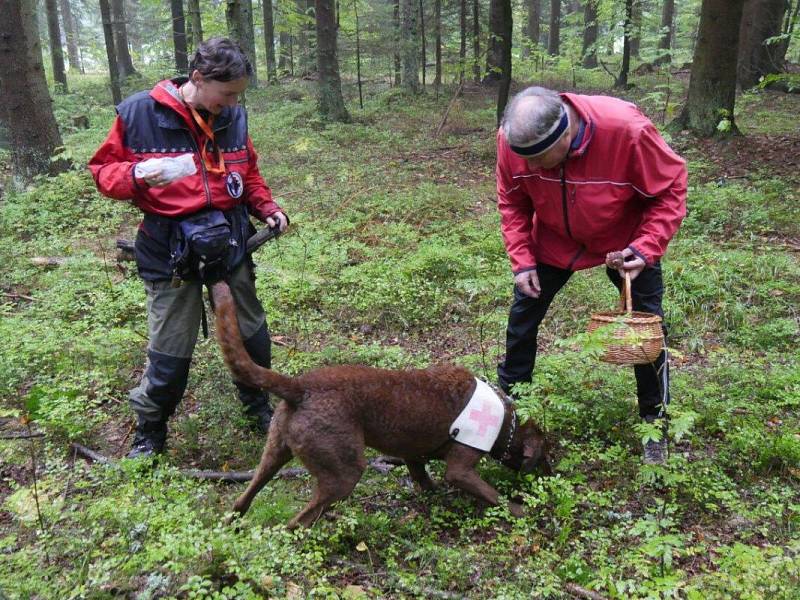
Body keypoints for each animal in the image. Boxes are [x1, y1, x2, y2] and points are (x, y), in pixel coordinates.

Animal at [209, 278, 552, 528]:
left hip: (275, 450)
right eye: (544, 455)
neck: (505, 421)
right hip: (344, 471)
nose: (551, 475)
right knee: (297, 521)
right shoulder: (461, 468)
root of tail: (300, 387)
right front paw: (523, 511)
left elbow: (423, 477)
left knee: (244, 497)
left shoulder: (413, 453)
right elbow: (492, 495)